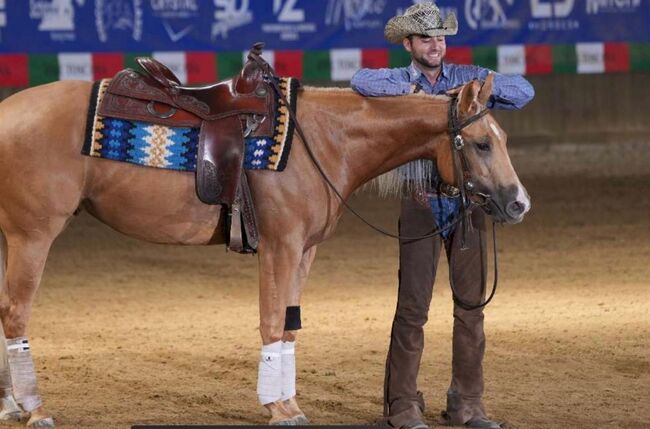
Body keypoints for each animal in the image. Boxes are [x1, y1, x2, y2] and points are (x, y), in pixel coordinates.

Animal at [0, 73, 528, 424]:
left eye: (502, 137)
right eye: (480, 143)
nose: (518, 203)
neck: (322, 140)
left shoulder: (305, 251)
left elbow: (290, 326)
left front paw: (290, 402)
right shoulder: (281, 245)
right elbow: (273, 321)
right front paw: (277, 408)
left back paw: (10, 404)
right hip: (33, 235)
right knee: (16, 313)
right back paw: (34, 409)